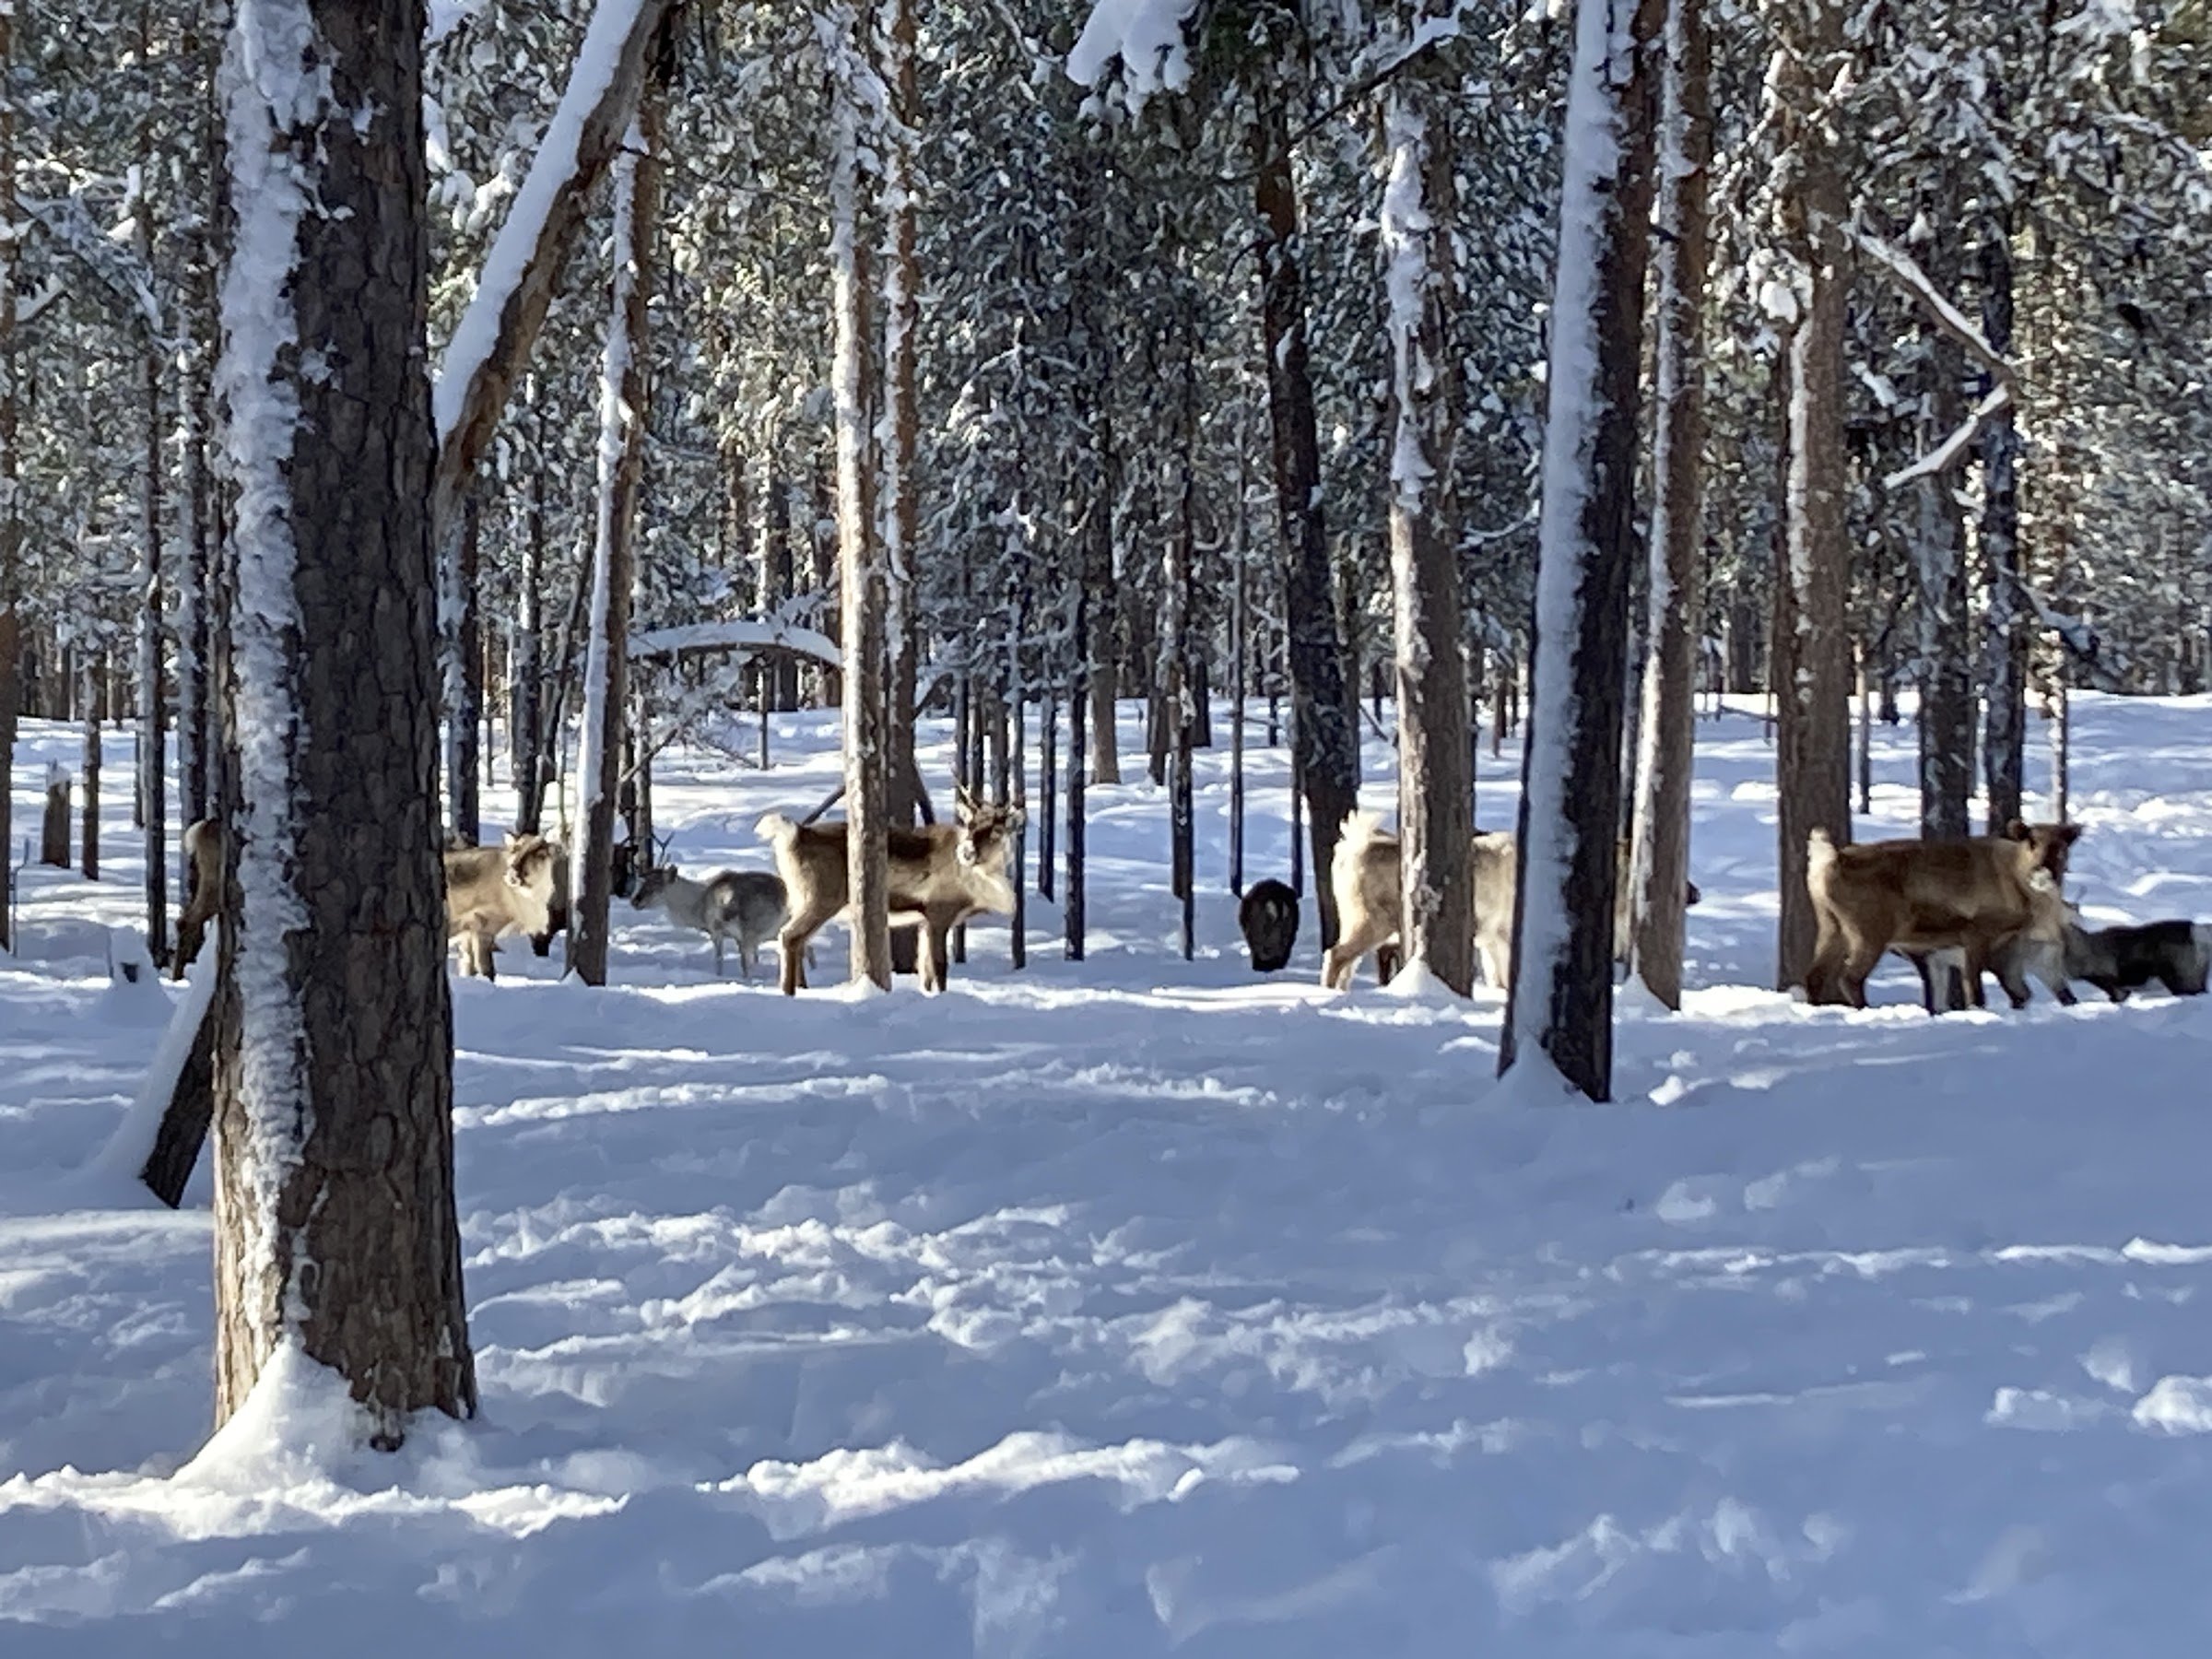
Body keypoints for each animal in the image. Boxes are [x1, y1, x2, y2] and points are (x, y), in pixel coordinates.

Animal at [756, 785, 1023, 995]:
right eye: (969, 825)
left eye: (997, 831)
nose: (967, 852)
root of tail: (795, 835)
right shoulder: (938, 912)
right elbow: (939, 967)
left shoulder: (924, 921)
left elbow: (924, 971)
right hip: (821, 897)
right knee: (790, 936)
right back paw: (788, 993)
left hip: (800, 899)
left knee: (798, 941)